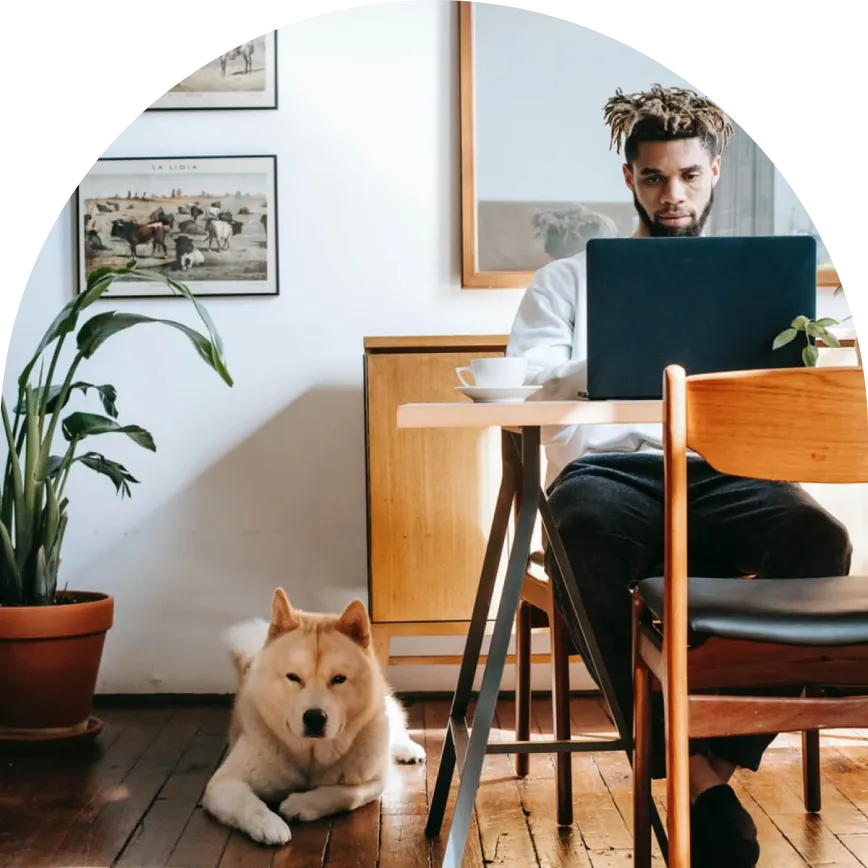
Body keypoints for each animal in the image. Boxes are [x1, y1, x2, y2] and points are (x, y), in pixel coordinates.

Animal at [200, 588, 424, 844]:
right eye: (293, 677)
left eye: (338, 679)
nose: (315, 717)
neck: (310, 755)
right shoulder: (223, 783)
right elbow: (251, 804)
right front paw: (269, 824)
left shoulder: (374, 780)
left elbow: (346, 795)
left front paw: (300, 803)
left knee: (395, 727)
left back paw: (409, 749)